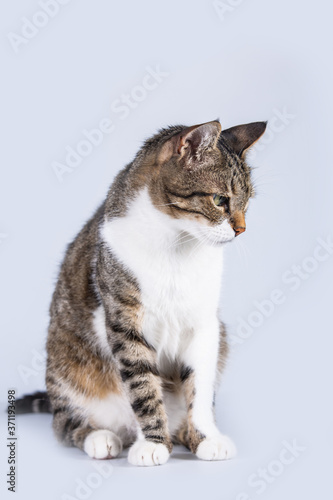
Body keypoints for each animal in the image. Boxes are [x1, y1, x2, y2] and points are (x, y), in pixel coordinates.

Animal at [16, 119, 268, 466]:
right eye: (220, 200)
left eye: (247, 202)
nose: (241, 230)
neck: (177, 246)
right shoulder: (124, 325)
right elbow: (142, 387)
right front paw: (153, 443)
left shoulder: (205, 325)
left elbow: (201, 388)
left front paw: (205, 437)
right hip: (65, 366)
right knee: (64, 424)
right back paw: (101, 437)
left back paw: (183, 434)